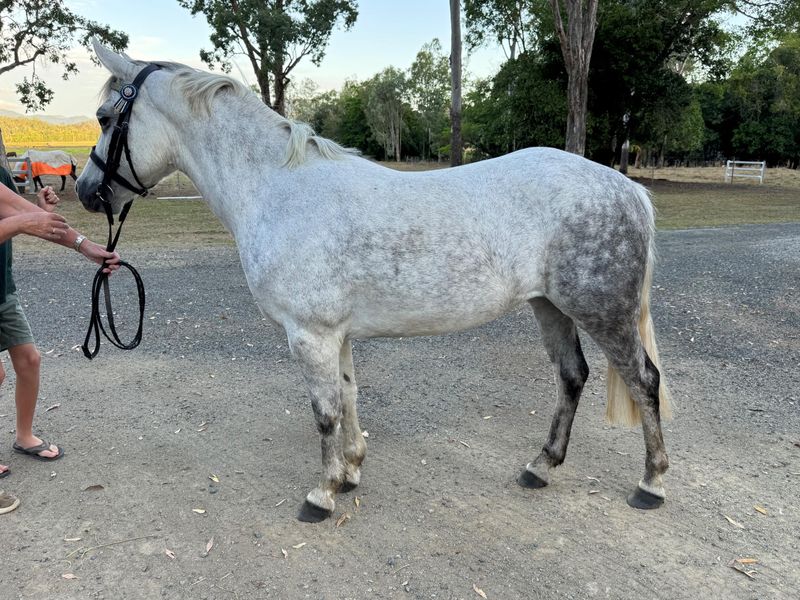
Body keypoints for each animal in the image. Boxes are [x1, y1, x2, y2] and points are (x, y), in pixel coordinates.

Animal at [77, 41, 673, 523]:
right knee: (572, 377)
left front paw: (321, 494)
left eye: (106, 118)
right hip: (550, 306)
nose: (86, 192)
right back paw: (540, 467)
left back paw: (651, 484)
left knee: (645, 381)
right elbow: (348, 397)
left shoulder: (310, 334)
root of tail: (625, 186)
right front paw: (351, 472)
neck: (277, 189)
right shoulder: (334, 335)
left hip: (603, 312)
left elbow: (324, 412)